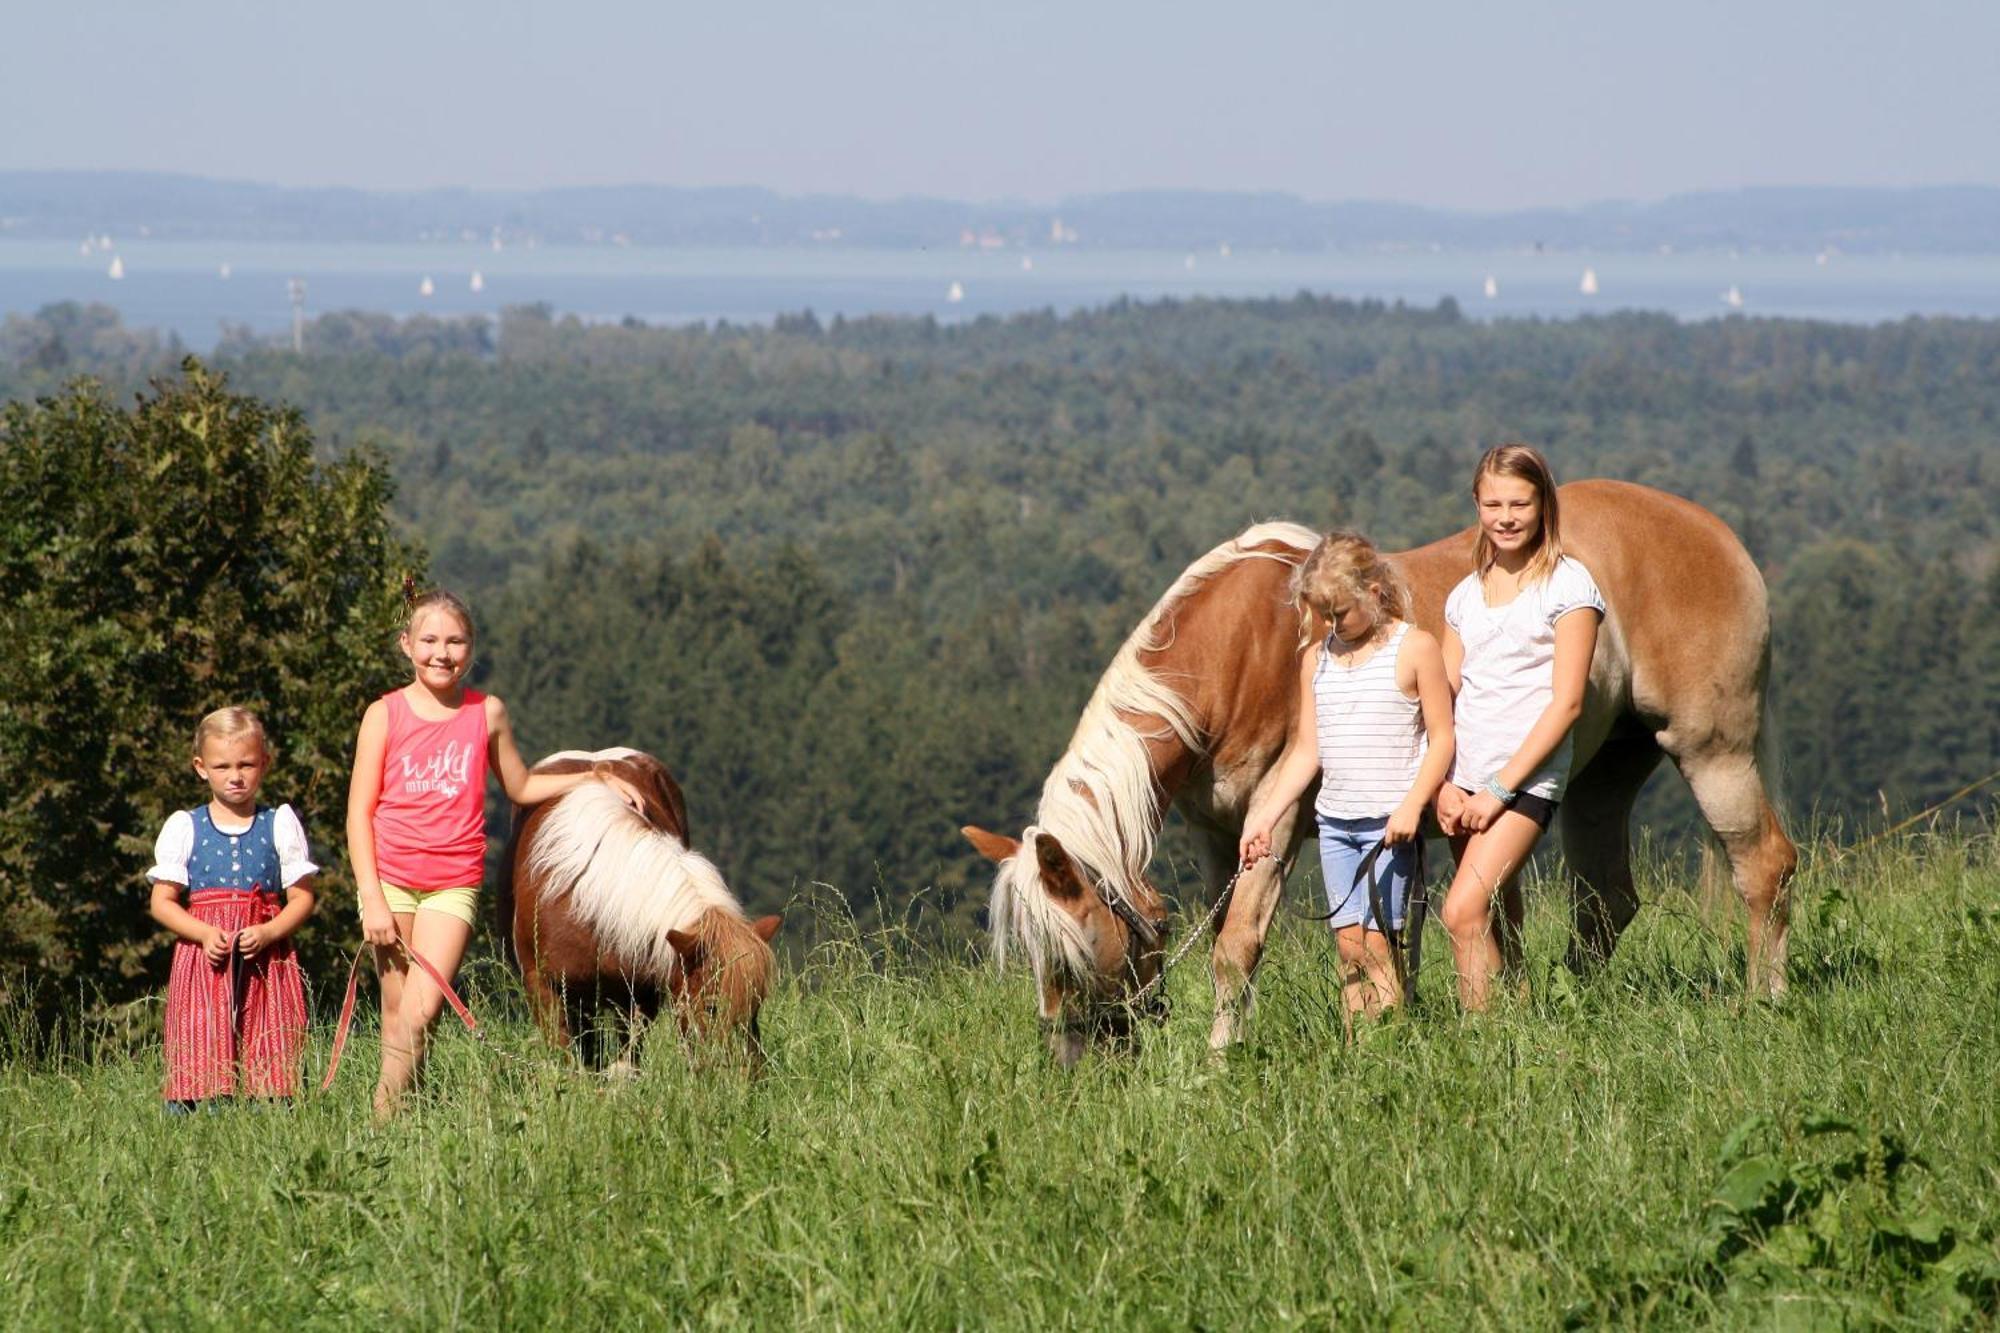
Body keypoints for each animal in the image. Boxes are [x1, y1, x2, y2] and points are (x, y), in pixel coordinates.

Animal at [500, 748, 780, 1072]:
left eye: (757, 1004)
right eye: (711, 1007)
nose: (749, 1075)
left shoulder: (640, 993)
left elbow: (627, 1056)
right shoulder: (543, 987)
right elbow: (567, 1057)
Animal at [964, 478, 1800, 1056]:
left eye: (1075, 952)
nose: (1072, 1058)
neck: (1244, 648)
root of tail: (1718, 535)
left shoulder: (1279, 821)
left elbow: (1237, 948)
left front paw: (1217, 1061)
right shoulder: (1219, 836)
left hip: (1712, 749)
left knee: (1763, 865)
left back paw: (1766, 1001)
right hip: (1604, 774)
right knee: (1604, 902)